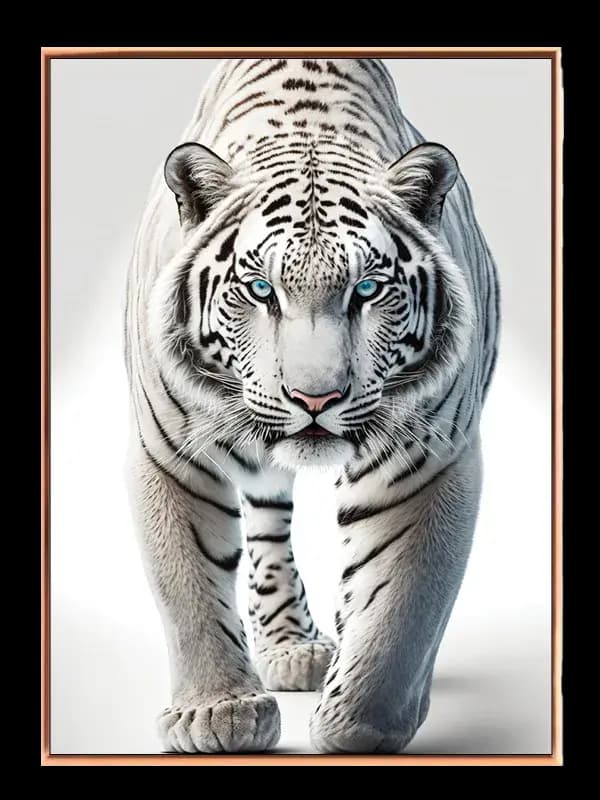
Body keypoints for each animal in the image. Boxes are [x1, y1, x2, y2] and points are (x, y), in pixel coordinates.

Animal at [124, 57, 499, 754]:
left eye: (368, 289)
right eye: (259, 289)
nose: (316, 397)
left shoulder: (431, 460)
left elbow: (403, 603)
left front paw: (361, 723)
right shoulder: (170, 455)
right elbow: (187, 584)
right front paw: (215, 712)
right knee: (268, 522)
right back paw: (292, 647)